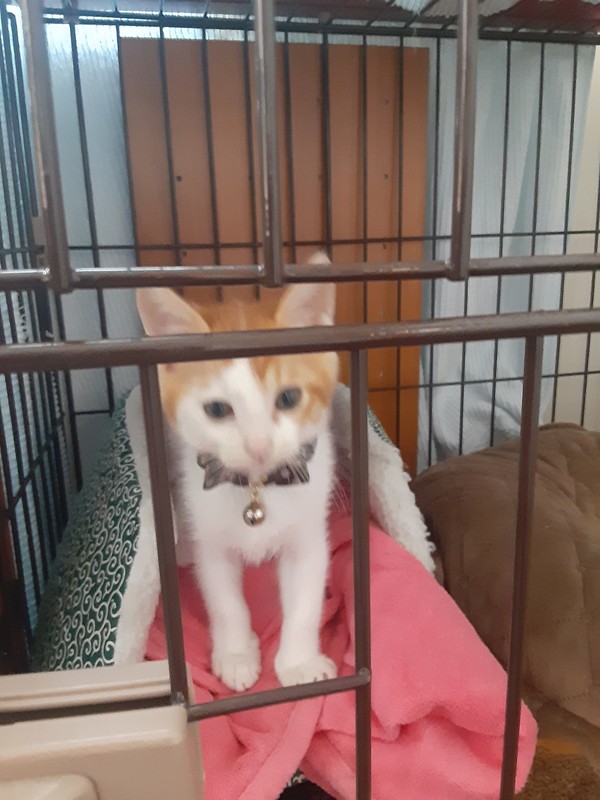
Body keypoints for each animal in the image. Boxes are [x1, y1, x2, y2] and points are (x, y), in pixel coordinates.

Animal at [136, 260, 339, 691]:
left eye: (289, 398)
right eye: (217, 409)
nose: (259, 445)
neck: (258, 488)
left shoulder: (308, 534)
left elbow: (305, 601)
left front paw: (299, 663)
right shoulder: (210, 538)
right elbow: (224, 600)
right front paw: (235, 655)